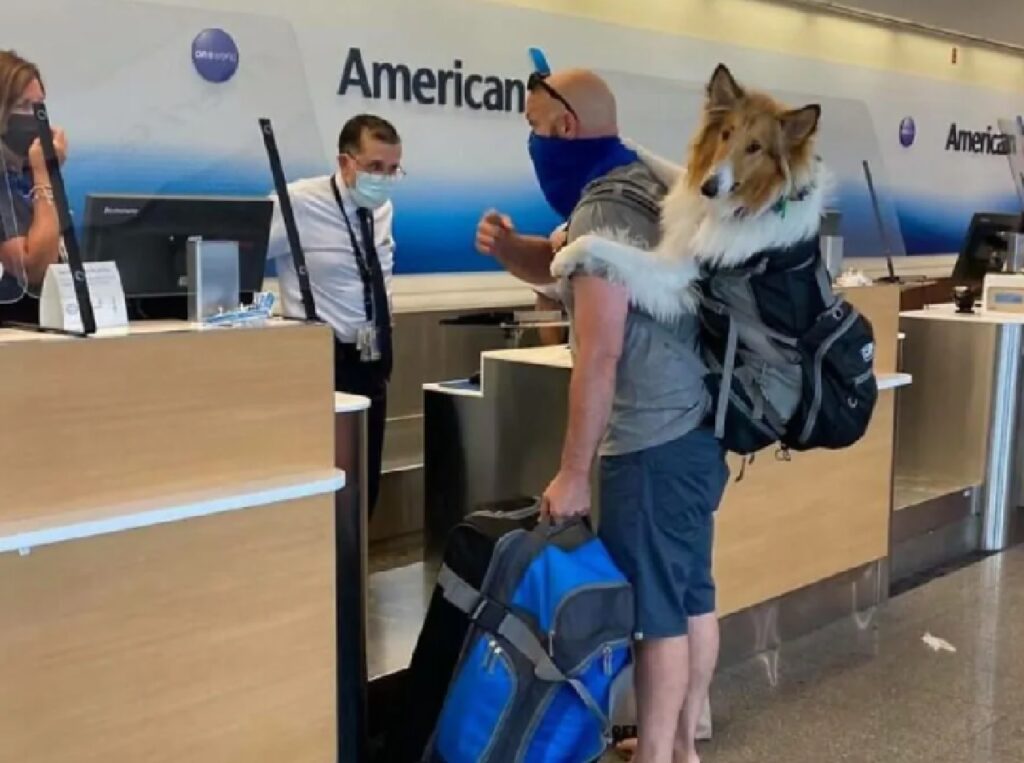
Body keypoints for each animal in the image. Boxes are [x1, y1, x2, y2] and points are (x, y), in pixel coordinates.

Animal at [552, 62, 831, 317]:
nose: (708, 188)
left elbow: (598, 242)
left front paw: (564, 257)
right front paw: (626, 142)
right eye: (726, 133)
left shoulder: (673, 268)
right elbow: (666, 165)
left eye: (755, 147)